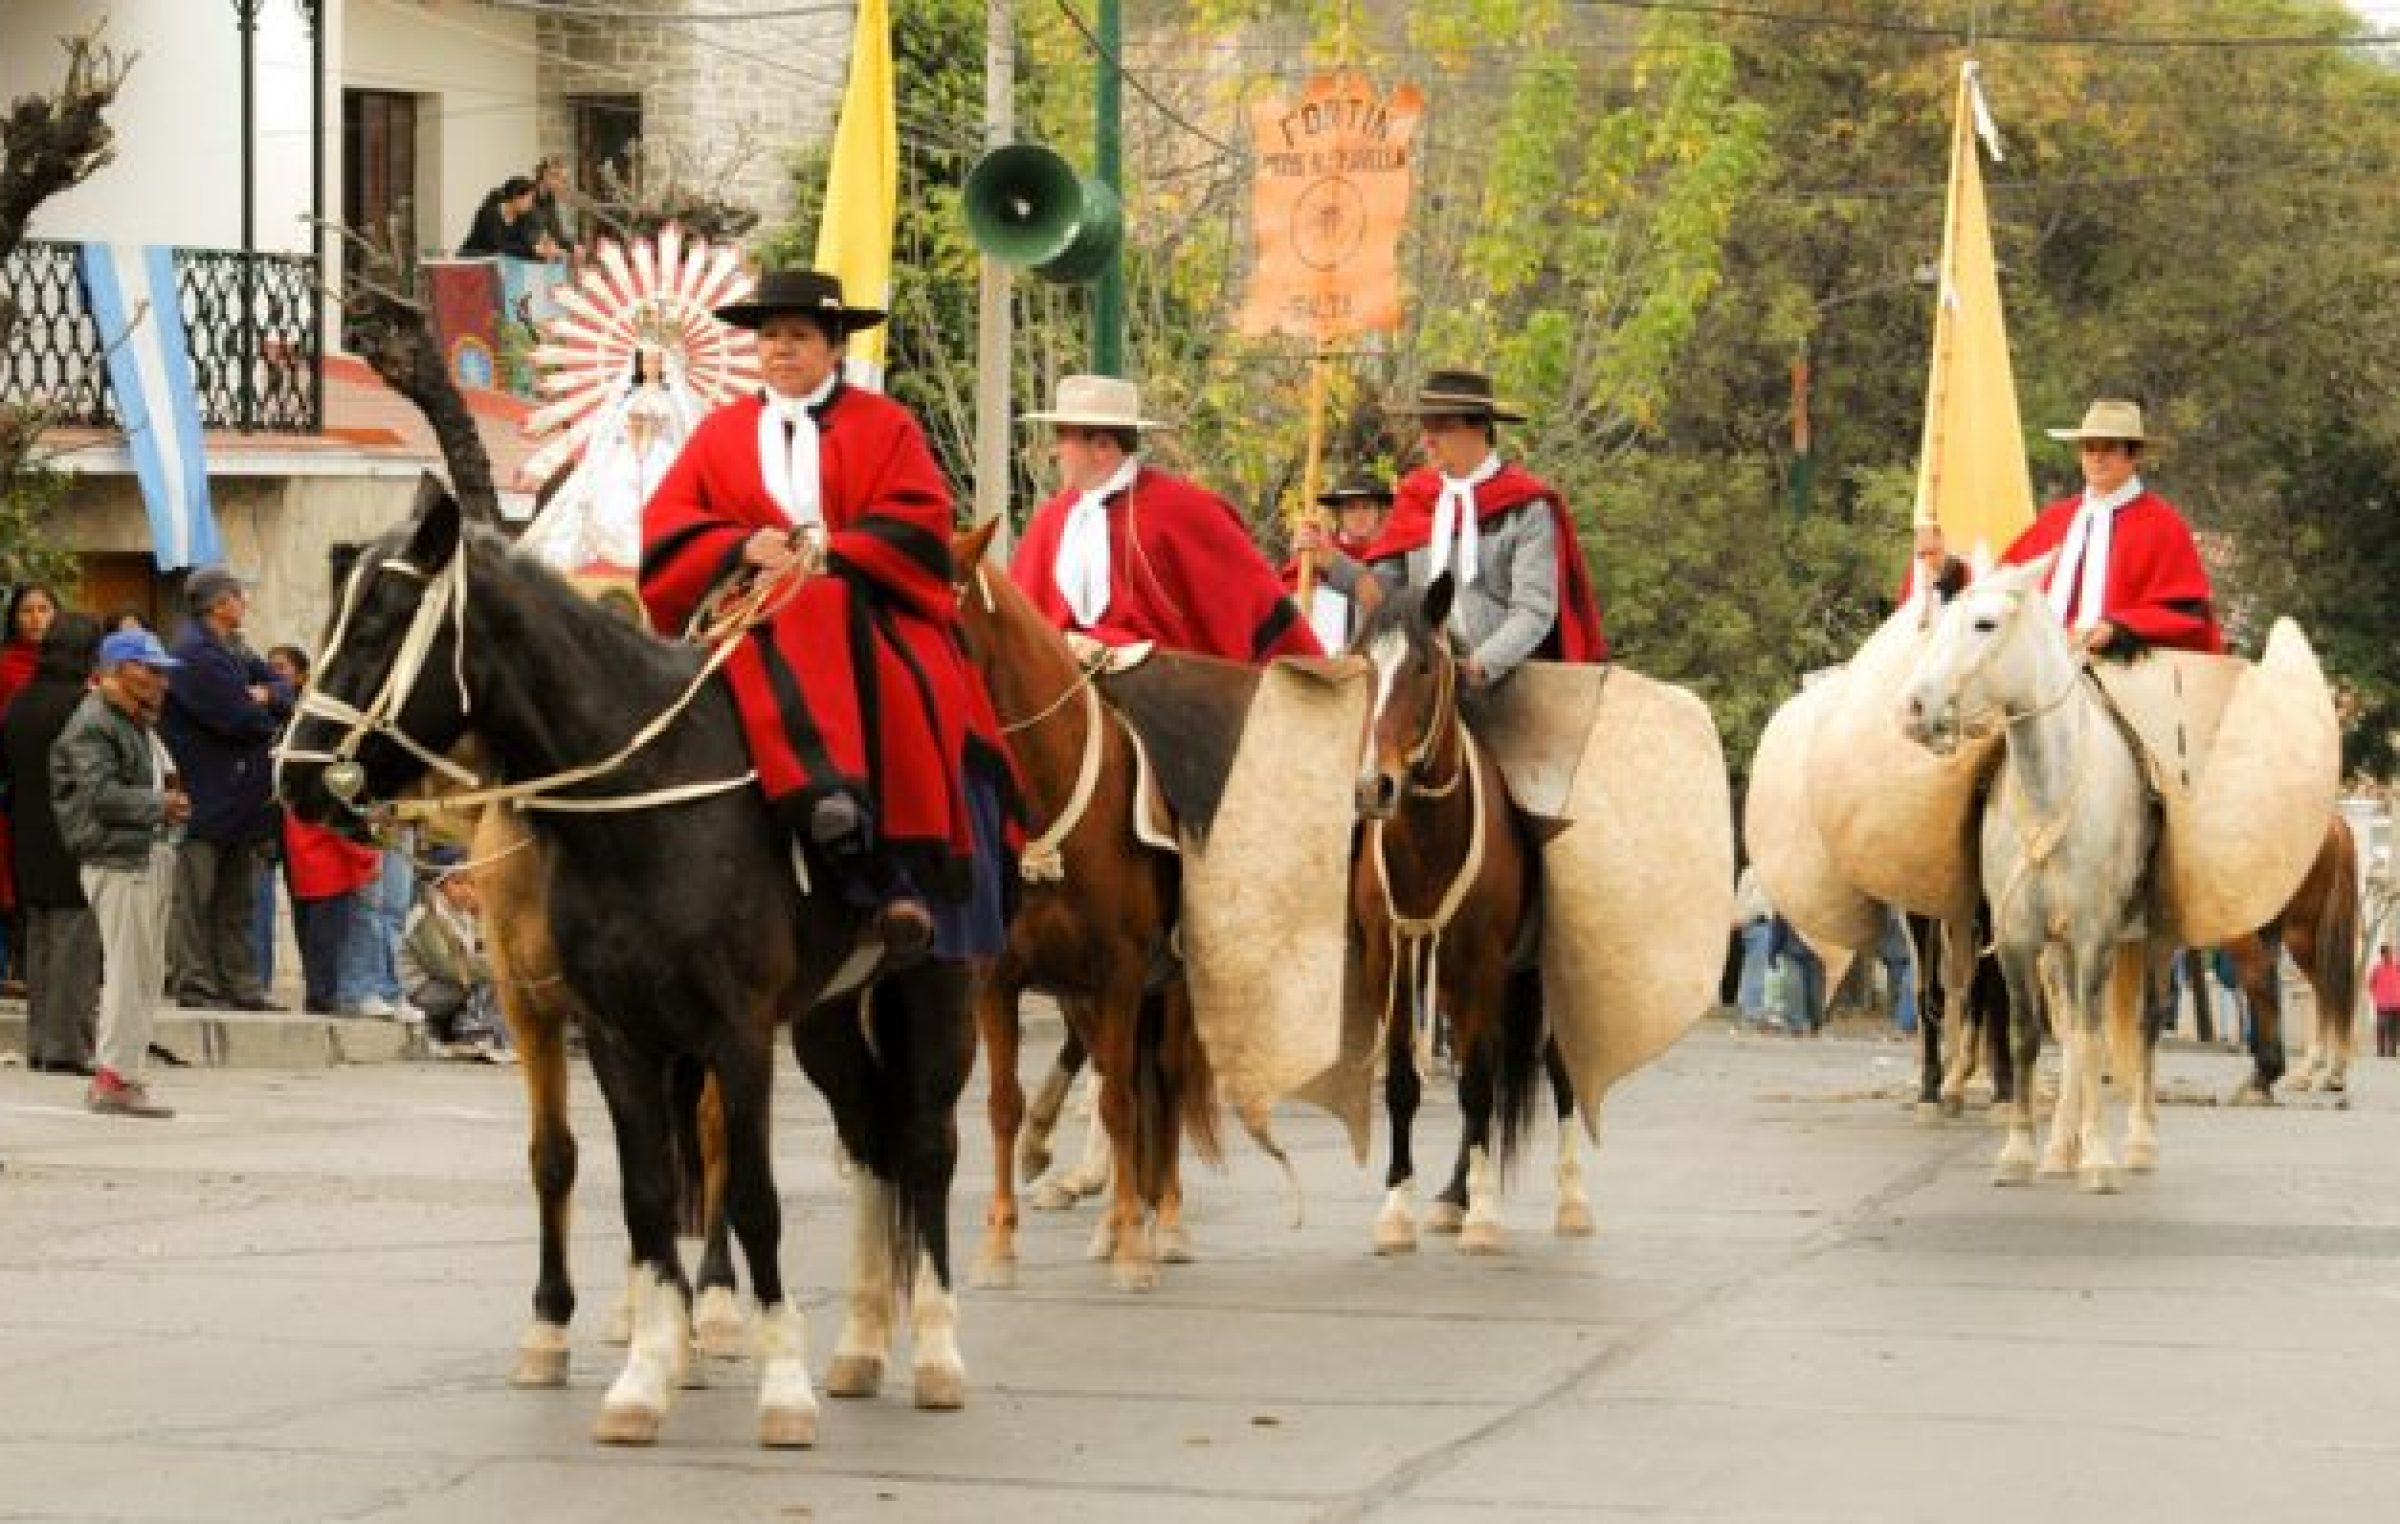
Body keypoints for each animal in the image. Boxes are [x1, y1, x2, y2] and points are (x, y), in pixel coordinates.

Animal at [283, 482, 984, 1449]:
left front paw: (780, 1384)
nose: (292, 776)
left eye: (380, 623)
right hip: (827, 1022)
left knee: (923, 1144)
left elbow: (753, 1194)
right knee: (873, 1143)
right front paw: (645, 1375)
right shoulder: (613, 1033)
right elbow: (641, 1192)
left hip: (936, 988)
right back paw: (860, 1346)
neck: (642, 799)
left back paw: (937, 1352)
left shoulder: (736, 1036)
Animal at [945, 520, 1228, 1286]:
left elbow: (1123, 1102)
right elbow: (1004, 1105)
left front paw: (1135, 1248)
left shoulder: (1125, 972)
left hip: (1166, 989)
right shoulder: (999, 979)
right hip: (1082, 998)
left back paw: (1164, 1222)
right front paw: (997, 1246)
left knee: (1157, 1082)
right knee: (1117, 1074)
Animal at [1363, 578, 1564, 1257]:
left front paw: (1484, 1220)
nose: (1375, 787)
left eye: (1425, 667)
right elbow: (1403, 1083)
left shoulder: (1484, 967)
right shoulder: (1394, 961)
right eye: (1363, 665)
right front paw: (1397, 1209)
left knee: (1551, 1076)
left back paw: (1569, 1203)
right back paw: (1454, 1196)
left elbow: (1477, 1086)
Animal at [1900, 561, 2169, 1190]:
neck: (2051, 789)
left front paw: (2099, 1159)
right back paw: (2059, 1149)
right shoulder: (2018, 936)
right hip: (2056, 948)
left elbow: (2094, 1037)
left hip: (2153, 938)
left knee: (2144, 1022)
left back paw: (2137, 1142)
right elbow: (2028, 1034)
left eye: (1985, 623)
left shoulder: (2095, 933)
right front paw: (2021, 1151)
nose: (1918, 706)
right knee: (2066, 1030)